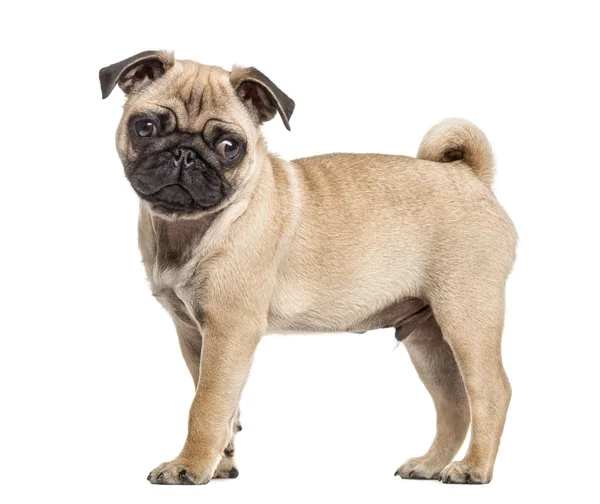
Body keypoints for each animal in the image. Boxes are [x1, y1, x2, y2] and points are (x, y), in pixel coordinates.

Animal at [101, 50, 516, 484]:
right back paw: (430, 465)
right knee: (454, 404)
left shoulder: (229, 331)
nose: (183, 153)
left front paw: (190, 466)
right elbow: (225, 406)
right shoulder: (195, 336)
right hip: (427, 337)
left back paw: (473, 468)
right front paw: (221, 463)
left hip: (467, 317)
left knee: (491, 392)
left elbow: (206, 405)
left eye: (230, 147)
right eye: (145, 127)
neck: (192, 228)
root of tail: (470, 176)